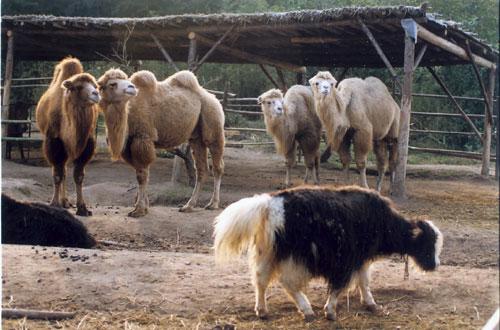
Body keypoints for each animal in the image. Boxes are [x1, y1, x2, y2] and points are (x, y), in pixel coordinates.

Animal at [35, 57, 100, 215]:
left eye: (94, 85)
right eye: (78, 87)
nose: (96, 93)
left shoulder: (87, 143)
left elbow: (79, 175)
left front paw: (82, 208)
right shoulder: (54, 140)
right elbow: (58, 174)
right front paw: (54, 203)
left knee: (64, 168)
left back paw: (65, 202)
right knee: (61, 170)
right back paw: (62, 202)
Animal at [96, 68, 225, 217]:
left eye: (126, 81)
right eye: (112, 84)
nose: (132, 88)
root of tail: (214, 99)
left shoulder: (143, 137)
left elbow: (142, 174)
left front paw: (139, 209)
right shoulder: (129, 145)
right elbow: (140, 171)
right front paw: (143, 206)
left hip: (213, 124)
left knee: (217, 166)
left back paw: (213, 204)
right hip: (196, 138)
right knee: (202, 169)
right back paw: (188, 206)